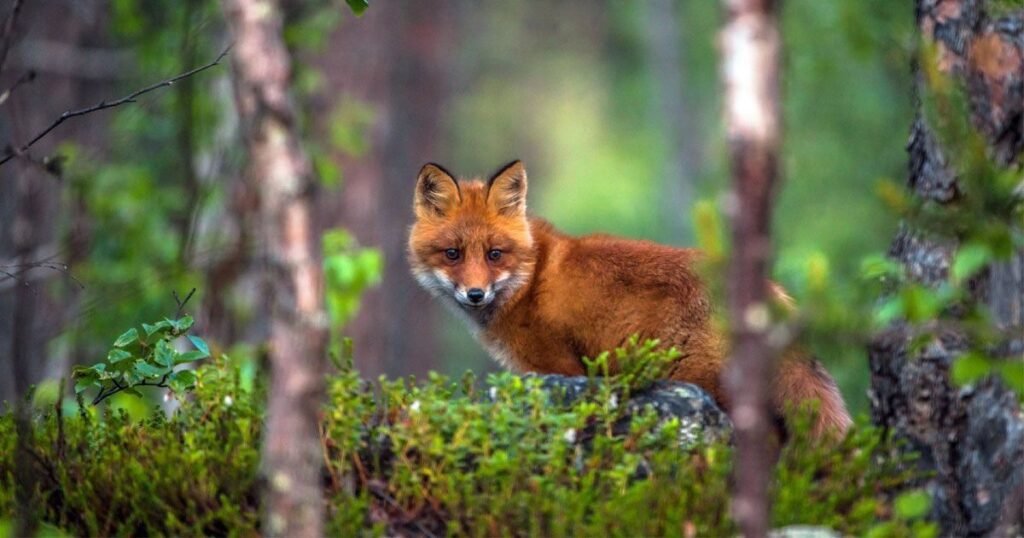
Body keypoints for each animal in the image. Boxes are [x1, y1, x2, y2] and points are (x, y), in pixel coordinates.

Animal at [407, 159, 852, 438]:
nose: (475, 294)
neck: (528, 280)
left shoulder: (561, 368)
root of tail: (769, 292)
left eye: (495, 254)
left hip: (701, 379)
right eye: (453, 254)